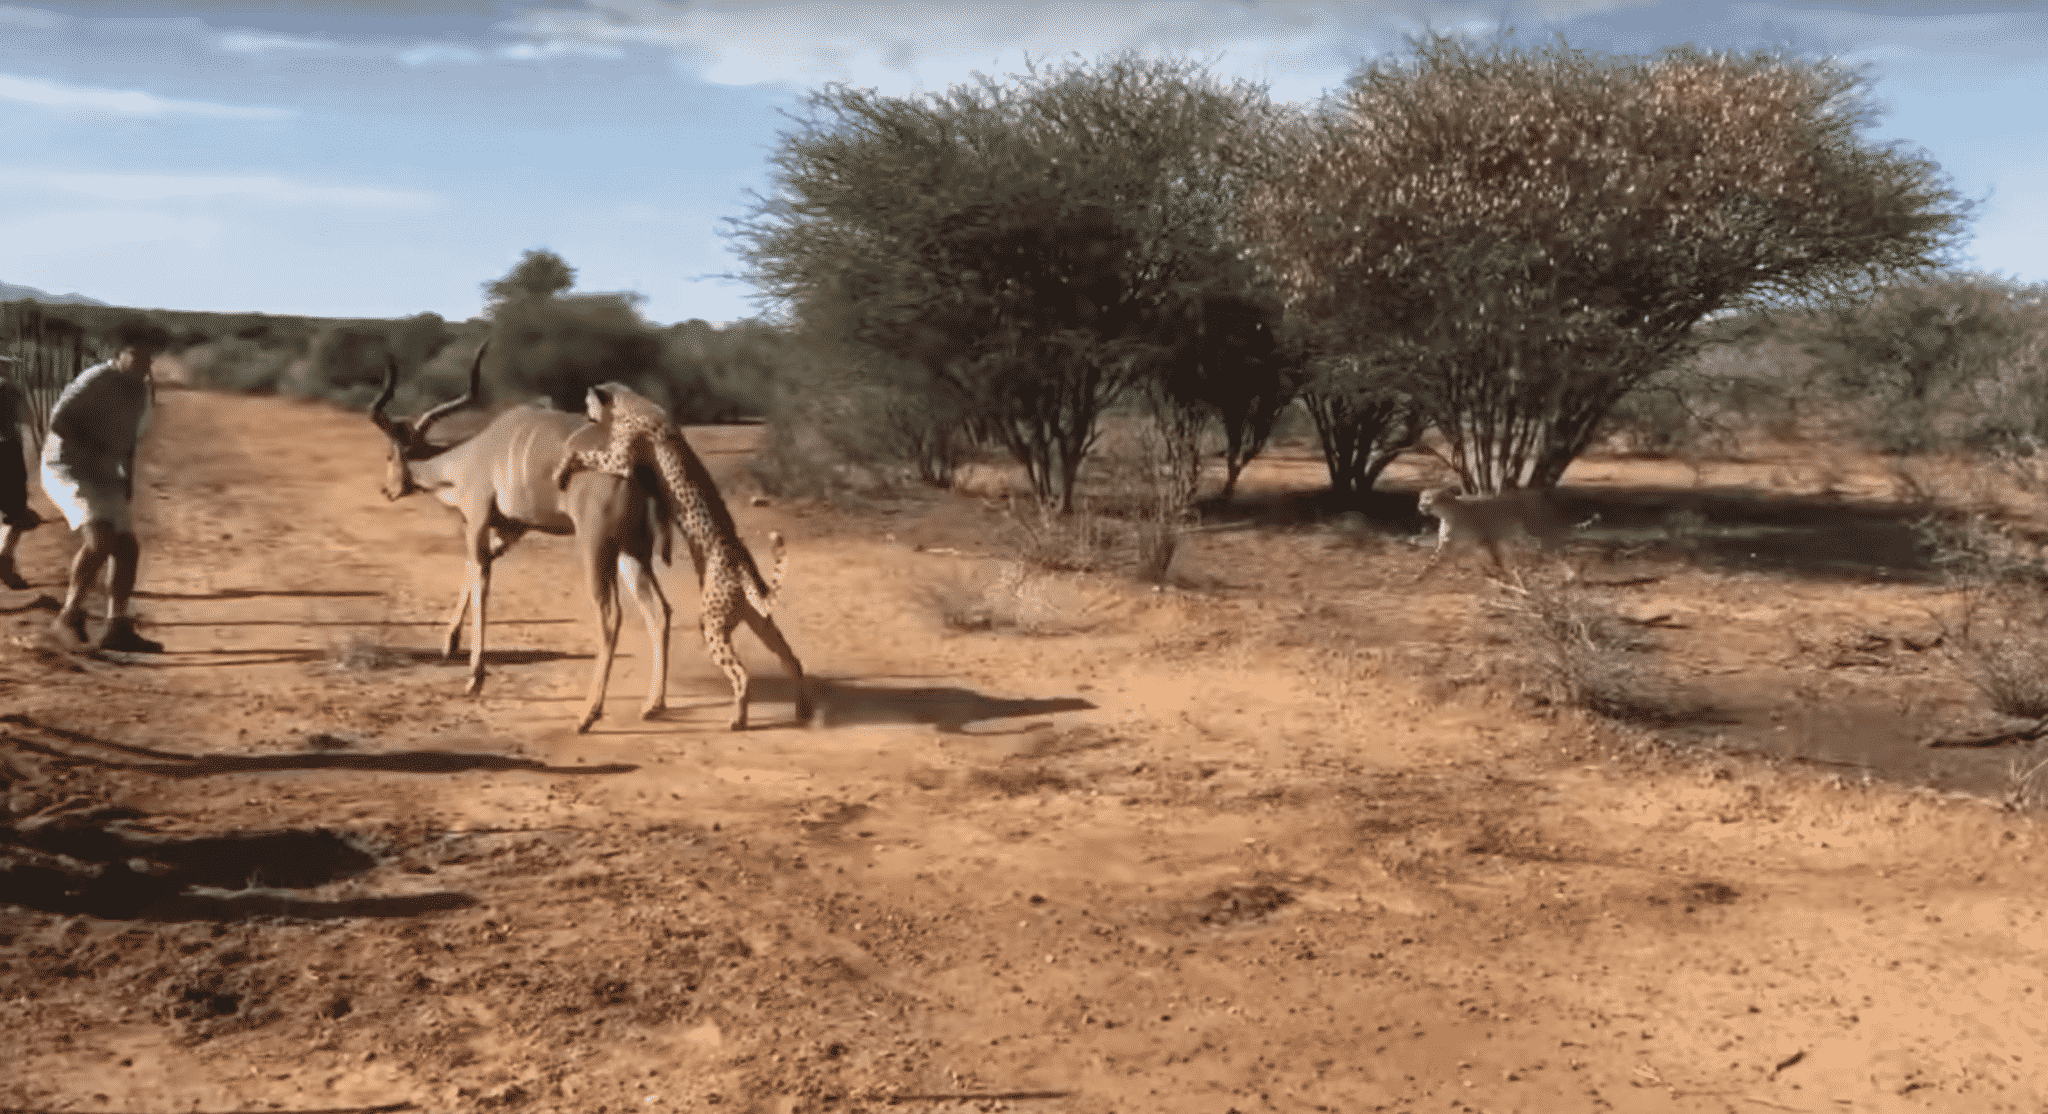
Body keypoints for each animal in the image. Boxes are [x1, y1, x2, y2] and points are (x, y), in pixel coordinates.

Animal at [372, 344, 675, 737]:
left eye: (389, 454)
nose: (387, 489)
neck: (476, 451)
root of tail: (636, 465)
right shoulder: (512, 530)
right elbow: (476, 568)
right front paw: (448, 644)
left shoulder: (478, 520)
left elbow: (481, 580)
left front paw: (474, 678)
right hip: (632, 551)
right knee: (660, 610)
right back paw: (653, 704)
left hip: (596, 548)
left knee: (611, 617)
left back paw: (588, 715)